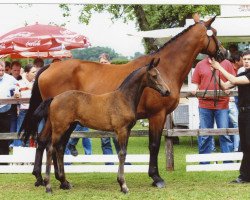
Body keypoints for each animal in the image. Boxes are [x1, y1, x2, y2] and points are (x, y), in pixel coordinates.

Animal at [34, 58, 170, 193]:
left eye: (160, 74)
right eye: (154, 76)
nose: (167, 91)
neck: (123, 99)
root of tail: (54, 99)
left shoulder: (127, 131)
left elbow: (122, 153)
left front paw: (121, 183)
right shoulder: (122, 130)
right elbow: (122, 154)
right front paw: (123, 185)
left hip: (67, 127)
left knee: (59, 148)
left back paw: (63, 182)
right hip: (59, 128)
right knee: (50, 148)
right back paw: (48, 186)